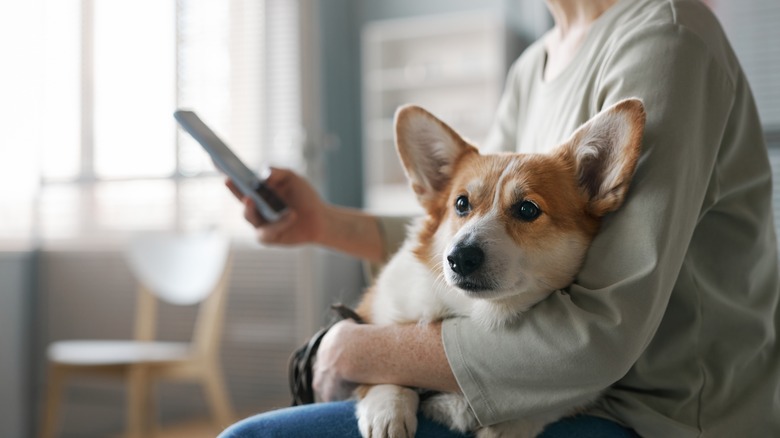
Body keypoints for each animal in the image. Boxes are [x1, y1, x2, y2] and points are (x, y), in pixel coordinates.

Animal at [350, 99, 644, 438]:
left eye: (527, 209)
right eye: (461, 204)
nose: (459, 257)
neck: (475, 312)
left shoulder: (584, 392)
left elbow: (542, 409)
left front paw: (505, 427)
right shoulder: (373, 315)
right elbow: (381, 368)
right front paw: (389, 409)